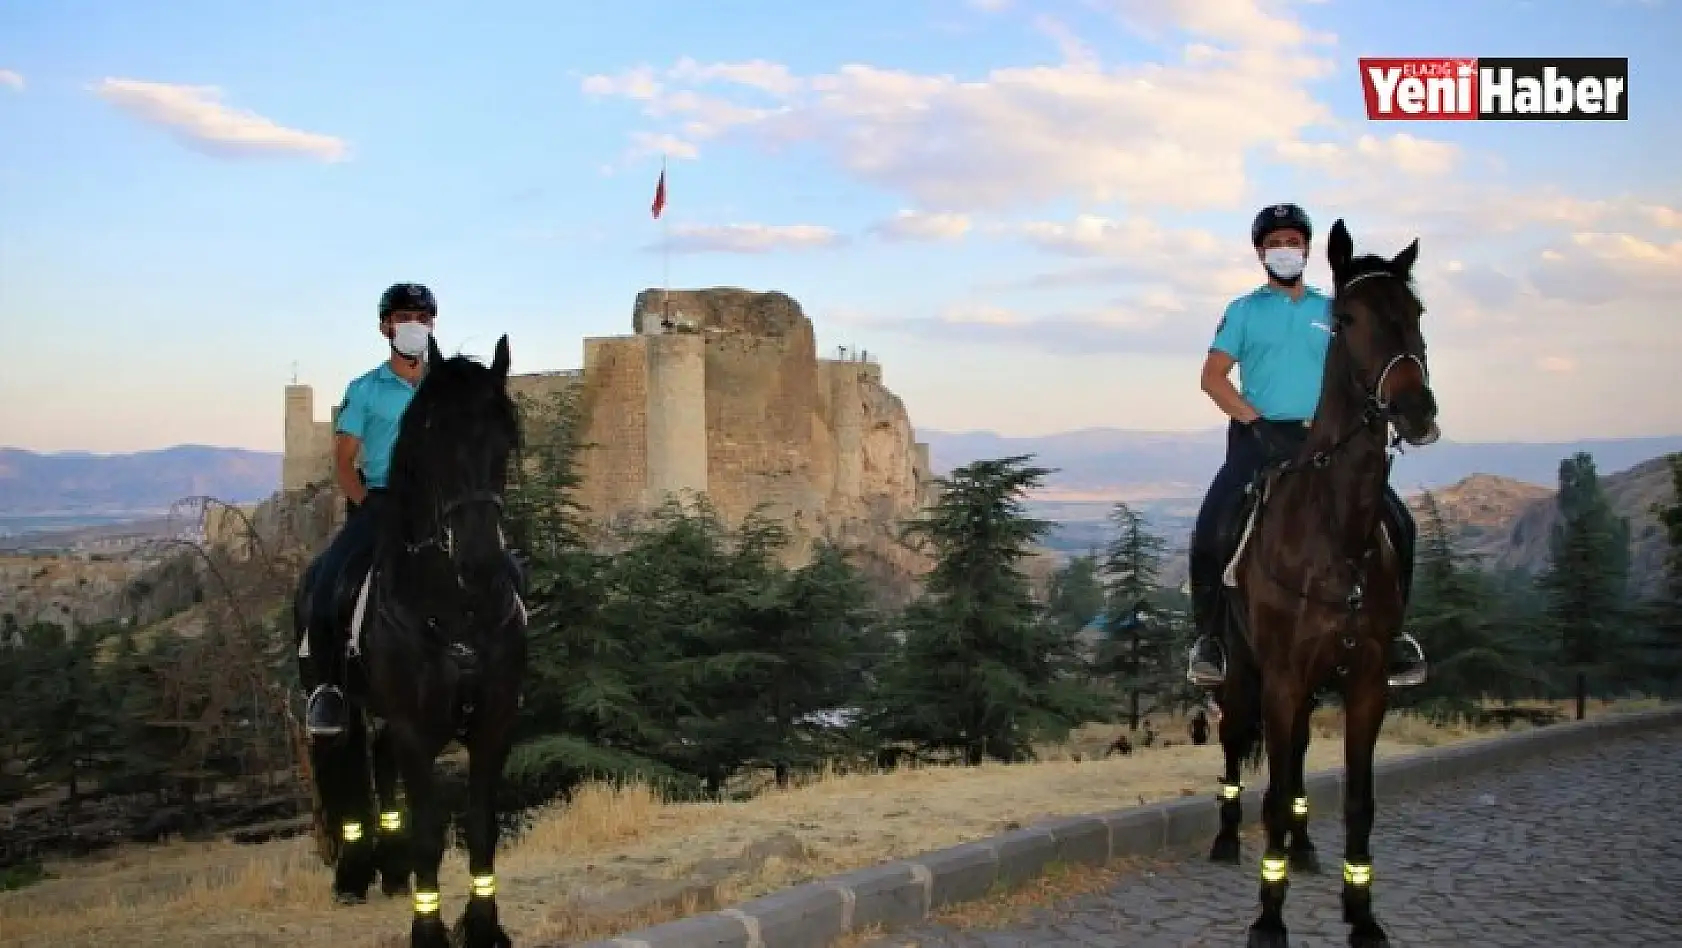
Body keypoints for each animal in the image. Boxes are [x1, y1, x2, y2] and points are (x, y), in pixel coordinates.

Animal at [292, 334, 521, 948]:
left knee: (379, 760)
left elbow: (481, 825)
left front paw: (483, 925)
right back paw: (354, 874)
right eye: (432, 435)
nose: (480, 560)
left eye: (506, 440)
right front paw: (429, 930)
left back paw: (392, 872)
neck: (458, 608)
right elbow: (429, 831)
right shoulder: (416, 730)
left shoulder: (492, 724)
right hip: (338, 706)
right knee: (344, 769)